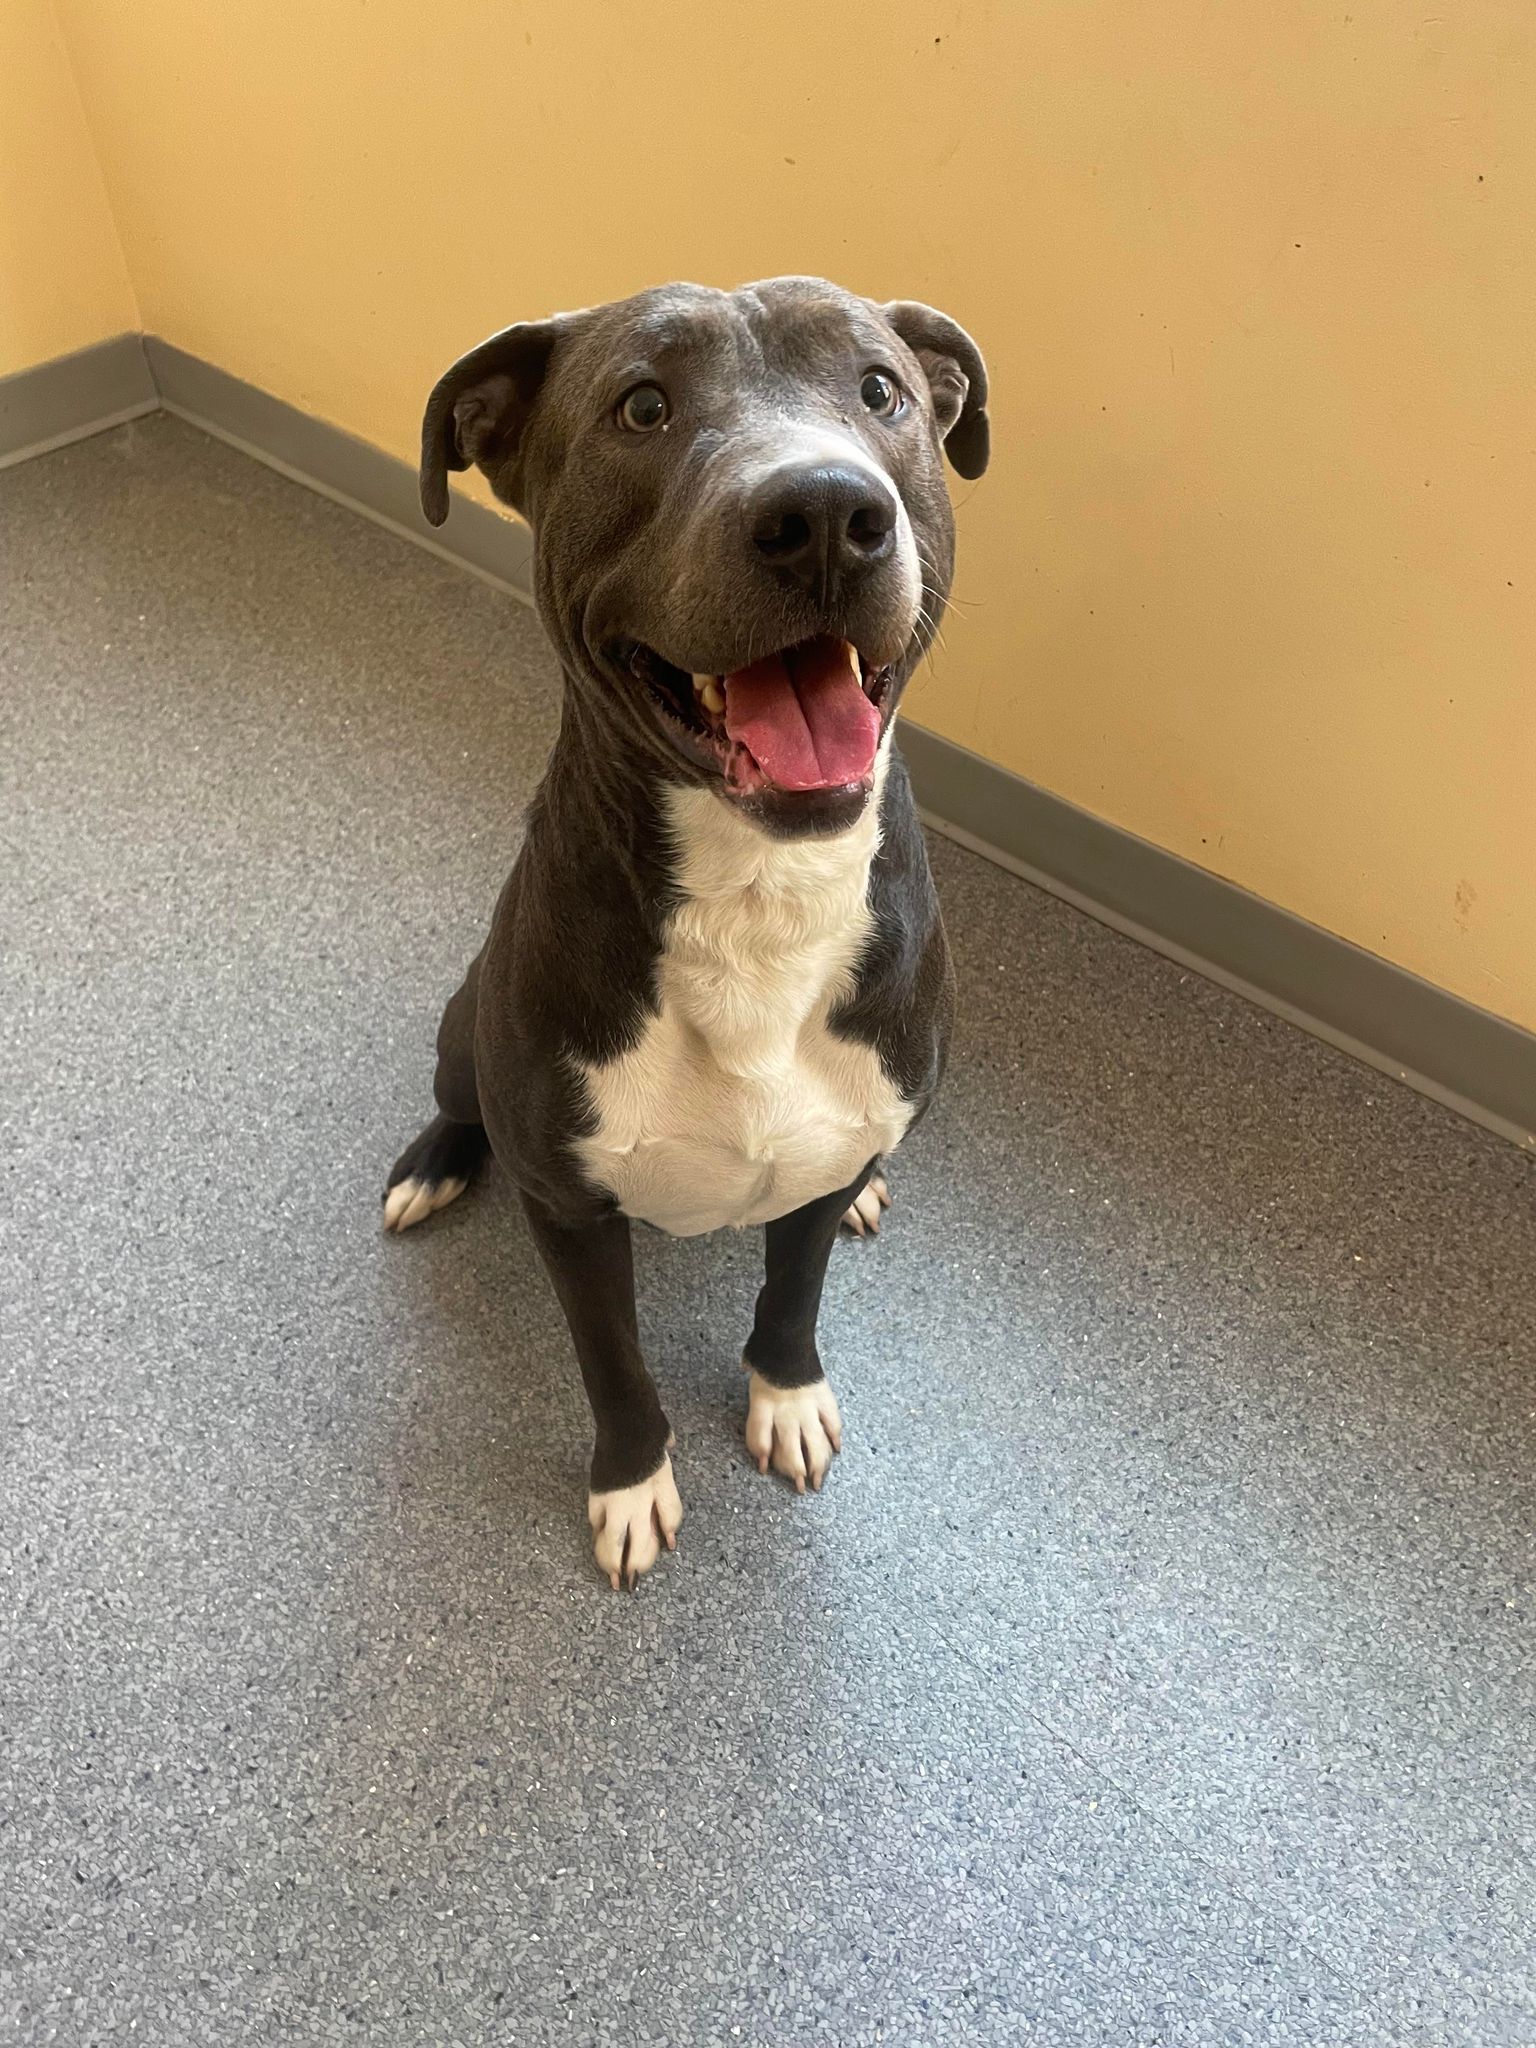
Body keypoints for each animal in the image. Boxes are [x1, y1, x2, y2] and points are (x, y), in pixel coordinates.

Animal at [382, 276, 987, 1581]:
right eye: (642, 406)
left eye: (881, 389)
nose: (826, 514)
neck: (761, 891)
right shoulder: (571, 1212)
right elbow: (612, 1362)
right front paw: (629, 1480)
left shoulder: (812, 1164)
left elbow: (792, 1296)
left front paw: (787, 1395)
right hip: (464, 1025)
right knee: (461, 1101)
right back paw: (434, 1164)